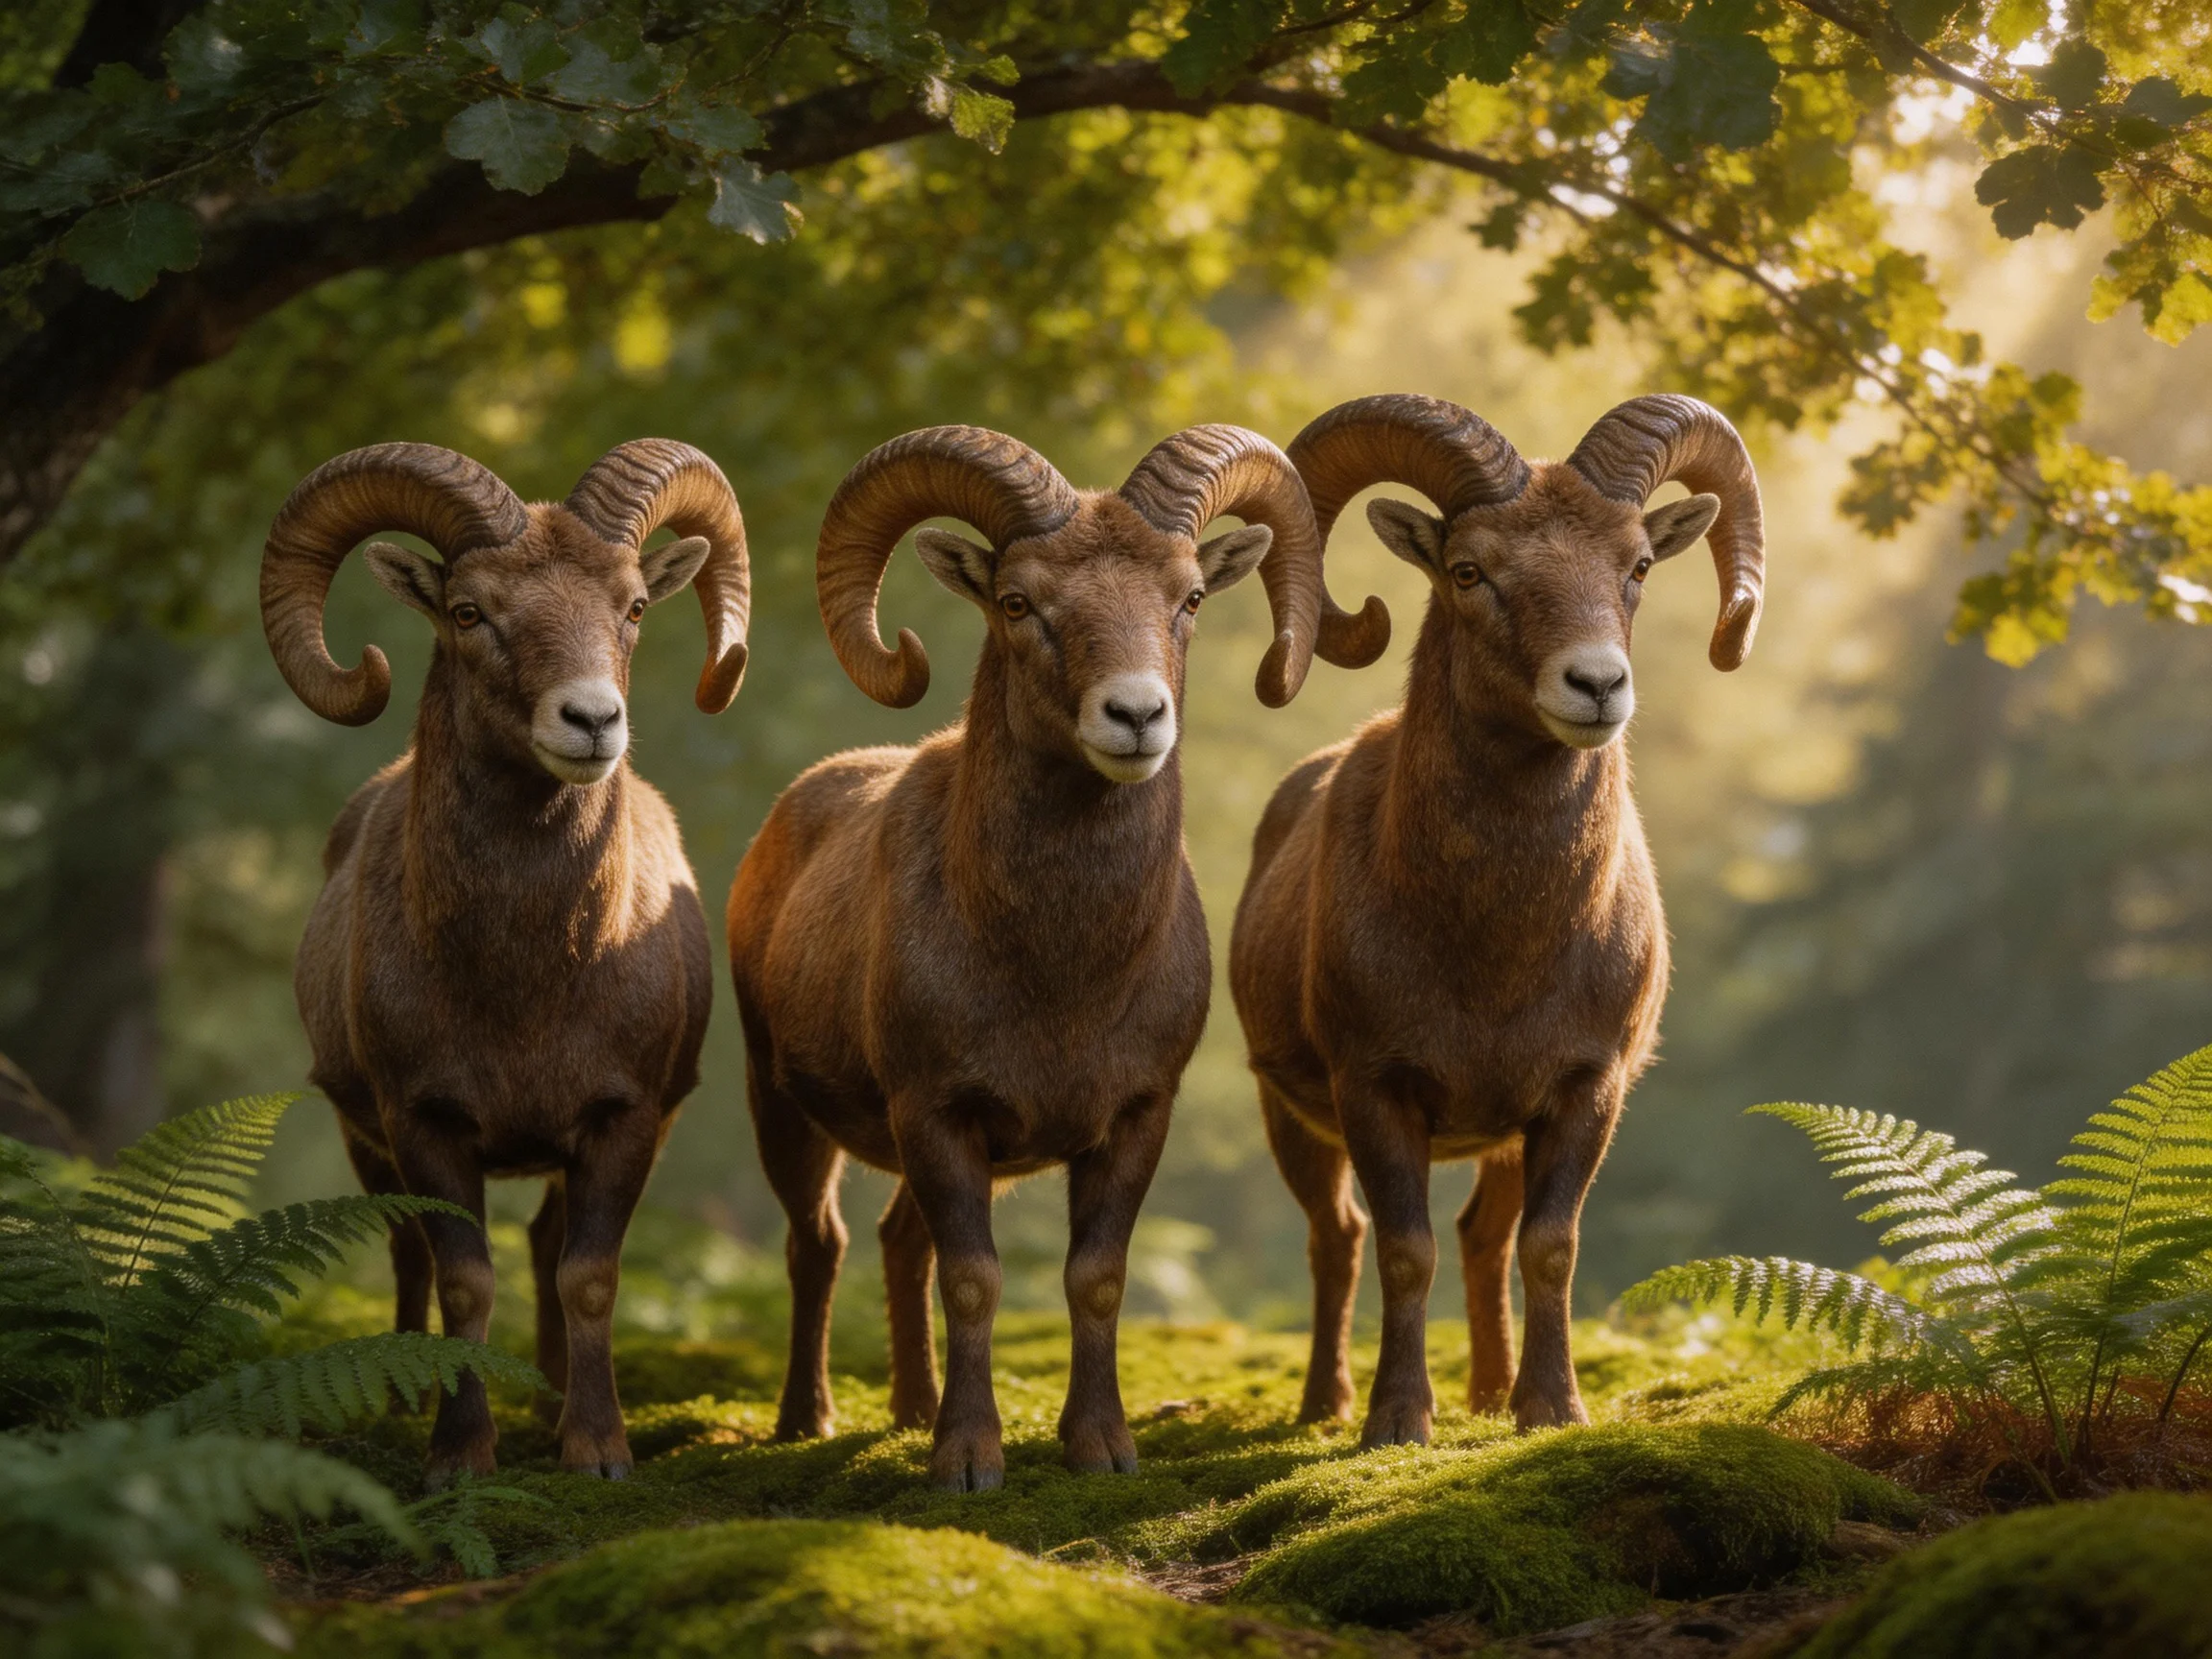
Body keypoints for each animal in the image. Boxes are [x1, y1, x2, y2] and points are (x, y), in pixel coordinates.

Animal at [263, 439, 750, 1482]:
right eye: (468, 611)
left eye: (633, 607)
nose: (591, 722)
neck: (528, 985)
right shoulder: (425, 1124)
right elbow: (463, 1282)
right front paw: (458, 1454)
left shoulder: (619, 1122)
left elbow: (587, 1277)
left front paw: (595, 1449)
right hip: (369, 1144)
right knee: (407, 1253)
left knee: (544, 1247)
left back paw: (557, 1401)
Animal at [726, 423, 1387, 1491]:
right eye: (1017, 601)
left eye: (1188, 597)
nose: (1136, 716)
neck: (1057, 975)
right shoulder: (939, 1114)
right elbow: (973, 1278)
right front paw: (967, 1463)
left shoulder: (1130, 1119)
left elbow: (1096, 1277)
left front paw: (1100, 1448)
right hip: (780, 1107)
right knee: (817, 1246)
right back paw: (809, 1420)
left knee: (893, 1242)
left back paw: (911, 1411)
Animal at [1229, 393, 1766, 1442]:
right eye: (1471, 570)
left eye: (1638, 565)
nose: (1596, 686)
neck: (1496, 957)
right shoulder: (1375, 1089)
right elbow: (1403, 1250)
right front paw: (1397, 1423)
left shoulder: (1581, 1092)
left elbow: (1546, 1246)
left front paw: (1550, 1410)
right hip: (1291, 1118)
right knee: (1336, 1239)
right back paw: (1325, 1408)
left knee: (1484, 1237)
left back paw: (1488, 1392)